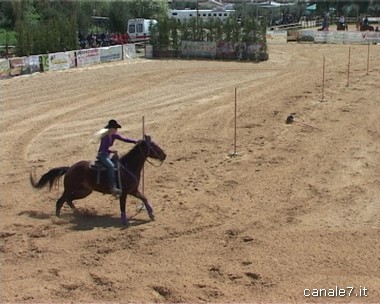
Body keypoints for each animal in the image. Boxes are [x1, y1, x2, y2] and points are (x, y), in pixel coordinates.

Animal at [29, 135, 166, 226]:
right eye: (153, 146)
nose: (164, 155)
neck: (128, 166)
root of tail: (70, 168)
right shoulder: (124, 193)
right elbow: (122, 206)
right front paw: (124, 221)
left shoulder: (133, 190)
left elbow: (144, 198)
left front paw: (151, 214)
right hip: (70, 188)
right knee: (60, 201)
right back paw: (58, 218)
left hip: (84, 191)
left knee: (69, 200)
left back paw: (78, 213)